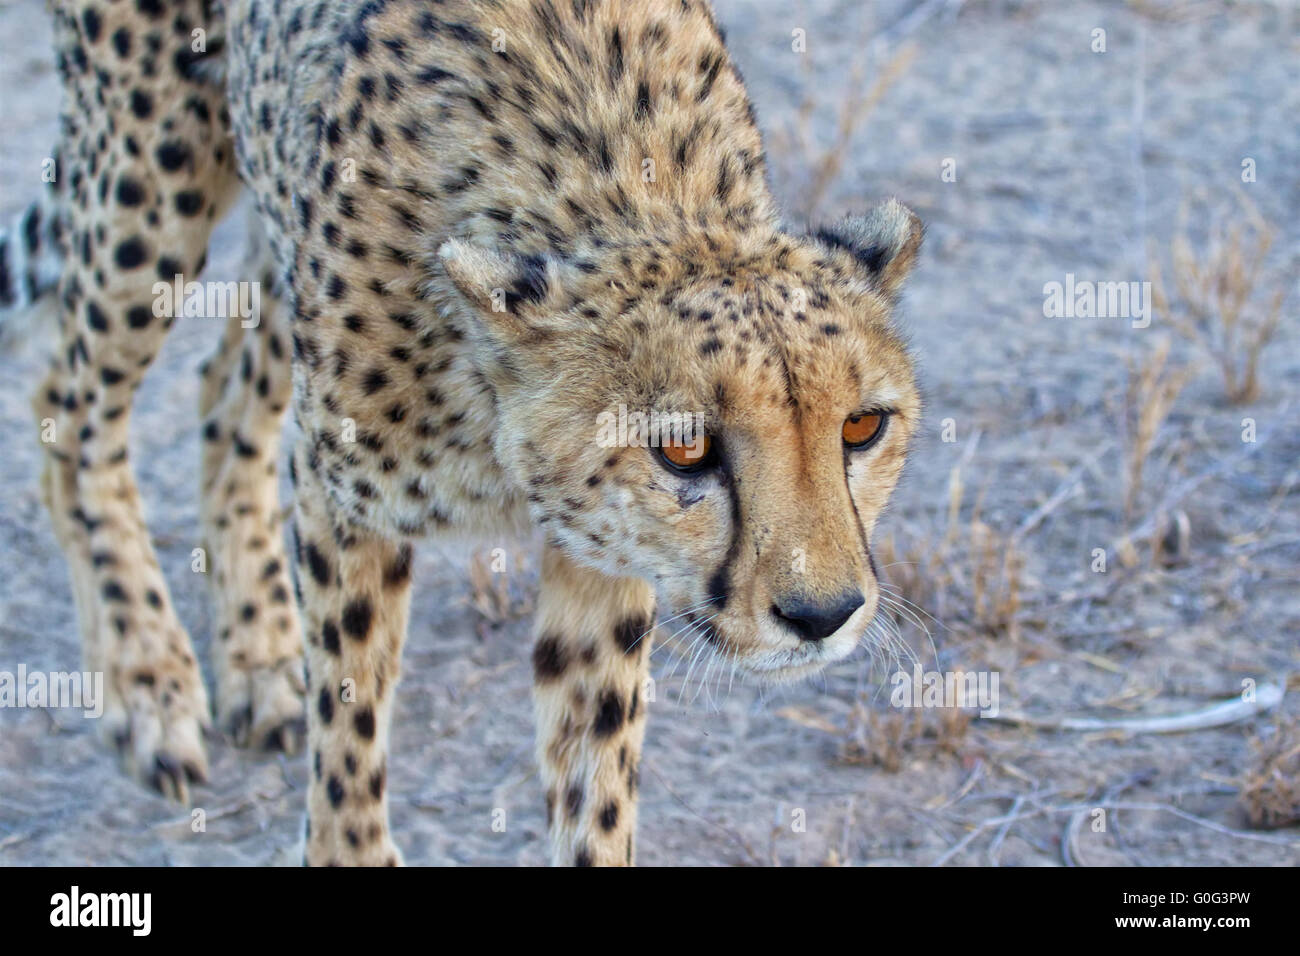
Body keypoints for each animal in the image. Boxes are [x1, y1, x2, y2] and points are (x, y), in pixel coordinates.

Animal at [5, 0, 930, 868]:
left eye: (861, 426)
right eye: (685, 448)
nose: (823, 614)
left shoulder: (603, 553)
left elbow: (593, 771)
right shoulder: (346, 495)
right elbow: (349, 710)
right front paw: (347, 840)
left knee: (224, 395)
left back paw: (259, 659)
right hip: (151, 154)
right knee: (71, 409)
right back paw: (148, 683)